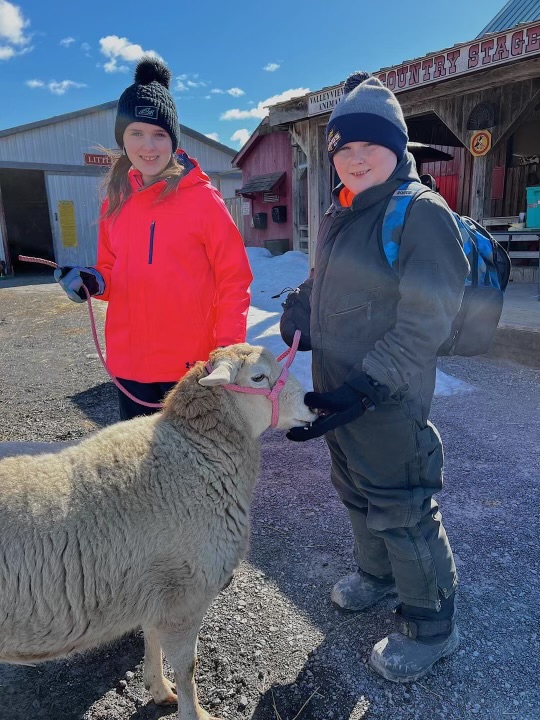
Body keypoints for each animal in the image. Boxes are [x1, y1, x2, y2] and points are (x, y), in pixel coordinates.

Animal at [0, 342, 316, 720]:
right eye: (258, 377)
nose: (313, 402)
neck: (197, 451)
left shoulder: (154, 592)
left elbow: (152, 640)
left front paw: (159, 689)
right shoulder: (183, 599)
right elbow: (187, 666)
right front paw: (195, 713)